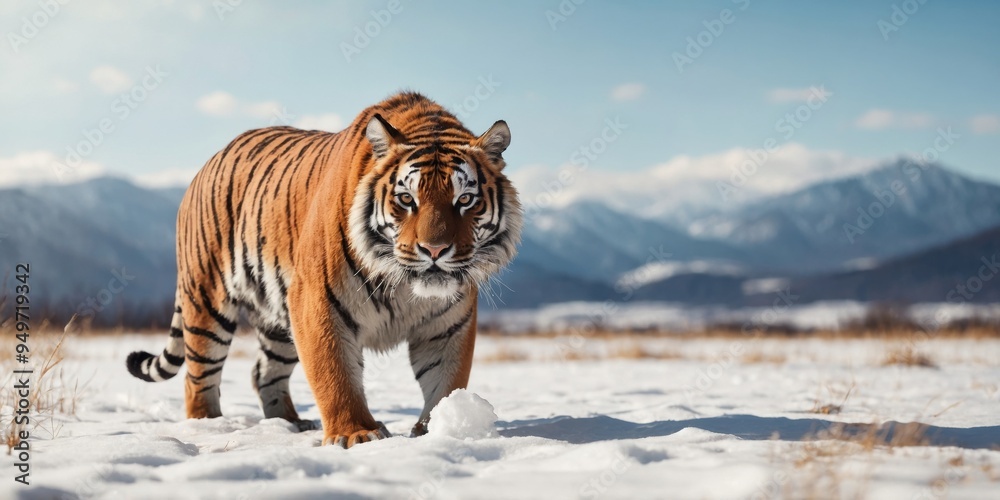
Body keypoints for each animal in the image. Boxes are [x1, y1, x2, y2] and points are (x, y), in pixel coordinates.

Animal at [126, 91, 522, 448]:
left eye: (465, 199)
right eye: (406, 199)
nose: (435, 250)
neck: (405, 288)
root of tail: (208, 162)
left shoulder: (448, 322)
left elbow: (447, 380)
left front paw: (442, 427)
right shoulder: (317, 301)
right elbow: (335, 373)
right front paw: (356, 433)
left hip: (277, 321)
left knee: (263, 372)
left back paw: (290, 424)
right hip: (207, 300)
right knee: (198, 378)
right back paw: (207, 427)